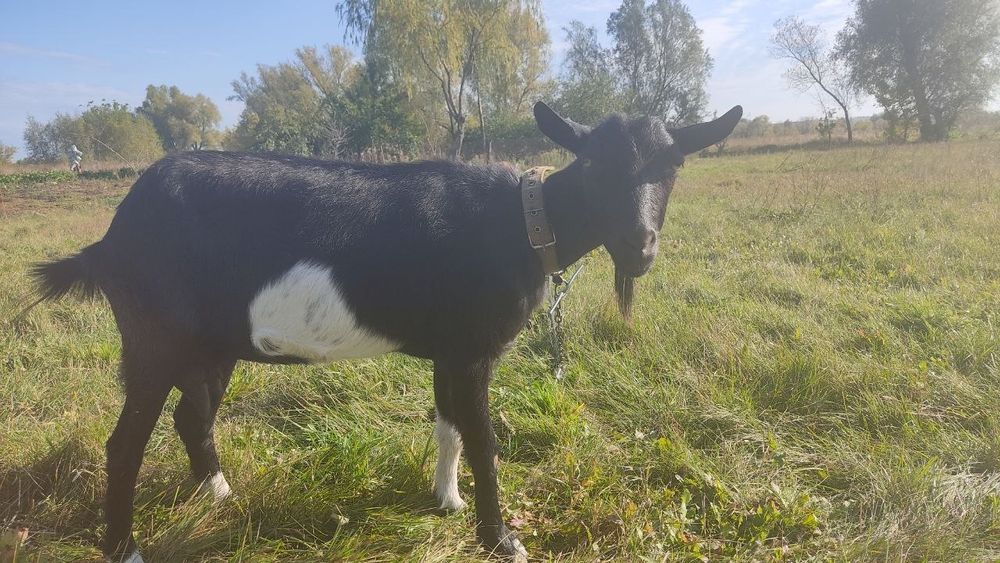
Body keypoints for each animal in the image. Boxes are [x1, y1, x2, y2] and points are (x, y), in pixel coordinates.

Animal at [32, 102, 742, 562]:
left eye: (673, 168)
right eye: (594, 166)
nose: (639, 248)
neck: (522, 223)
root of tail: (112, 237)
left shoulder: (452, 349)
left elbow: (450, 426)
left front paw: (447, 502)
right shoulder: (476, 349)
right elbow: (484, 439)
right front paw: (501, 538)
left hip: (211, 344)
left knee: (193, 414)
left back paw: (219, 495)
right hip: (152, 337)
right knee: (125, 443)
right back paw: (125, 548)